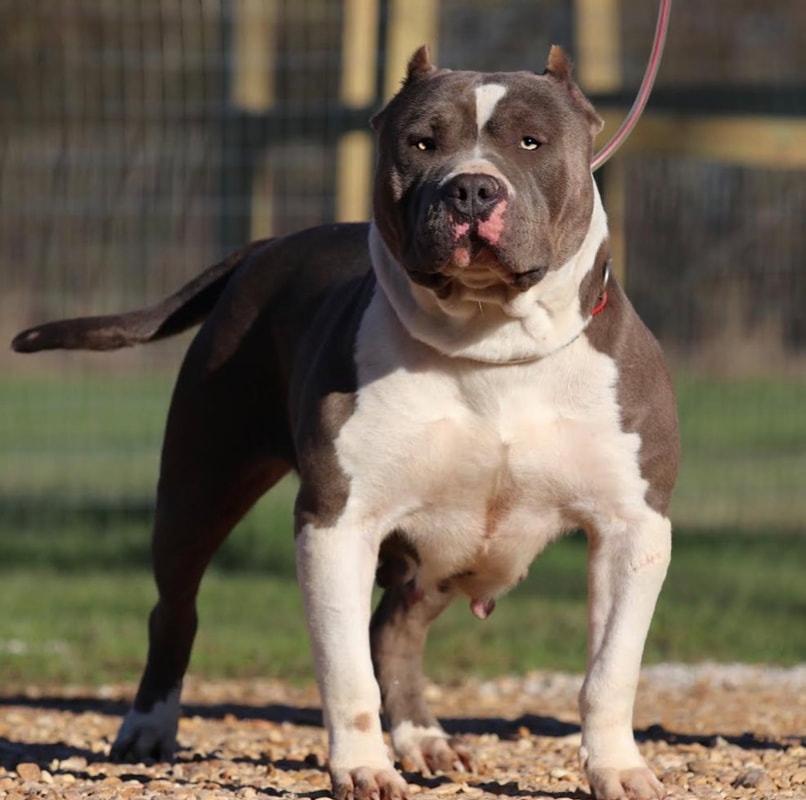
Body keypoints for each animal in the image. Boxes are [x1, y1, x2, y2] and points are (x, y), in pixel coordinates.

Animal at [14, 48, 680, 800]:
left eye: (531, 142)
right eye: (422, 143)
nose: (473, 191)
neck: (493, 346)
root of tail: (265, 247)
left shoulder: (633, 527)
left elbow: (611, 670)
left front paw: (618, 768)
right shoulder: (337, 523)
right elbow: (344, 667)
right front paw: (362, 767)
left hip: (445, 549)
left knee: (395, 630)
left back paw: (425, 739)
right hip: (199, 490)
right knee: (175, 610)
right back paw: (147, 729)